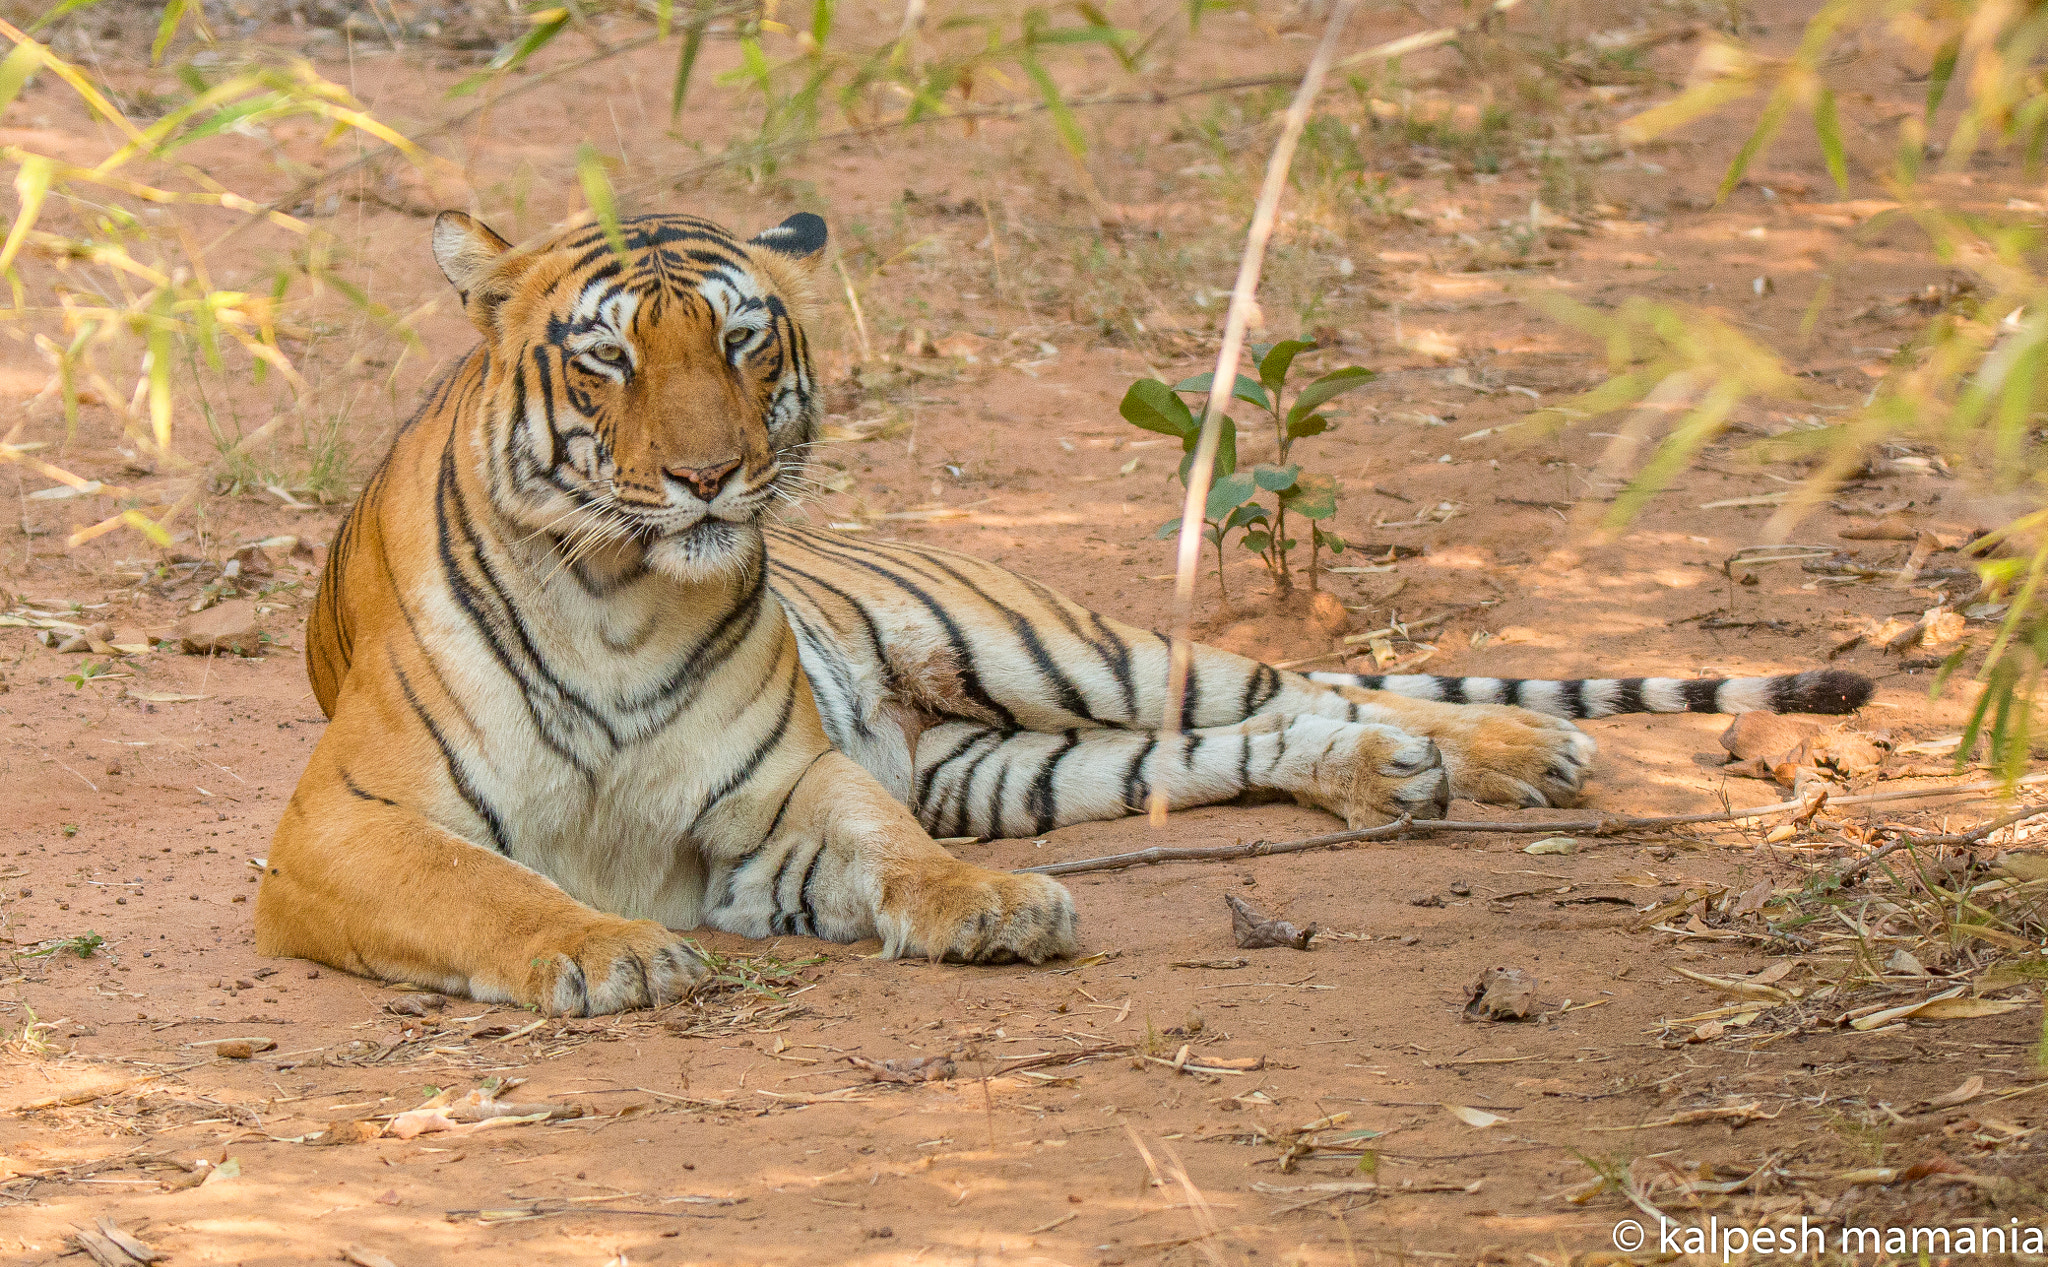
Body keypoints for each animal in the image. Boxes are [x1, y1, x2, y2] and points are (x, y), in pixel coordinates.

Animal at [256, 208, 1875, 1016]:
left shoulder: (790, 789)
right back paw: (1397, 777)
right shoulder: (344, 824)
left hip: (1053, 648)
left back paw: (1505, 757)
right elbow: (490, 886)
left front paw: (988, 913)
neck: (620, 591)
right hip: (1014, 760)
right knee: (1248, 738)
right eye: (605, 359)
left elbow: (887, 851)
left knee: (1295, 684)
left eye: (740, 339)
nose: (710, 475)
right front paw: (608, 951)